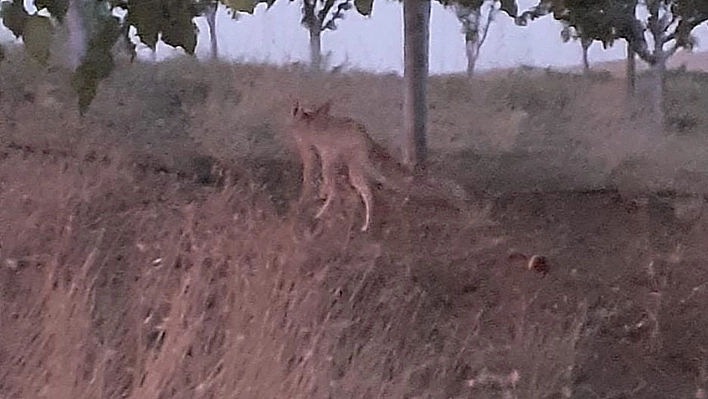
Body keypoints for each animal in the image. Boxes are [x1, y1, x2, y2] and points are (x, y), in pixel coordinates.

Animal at [290, 99, 476, 233]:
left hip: (352, 166)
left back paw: (362, 225)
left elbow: (315, 181)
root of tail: (366, 136)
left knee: (366, 192)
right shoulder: (324, 156)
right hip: (353, 164)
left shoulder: (317, 155)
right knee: (362, 190)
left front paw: (310, 205)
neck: (309, 121)